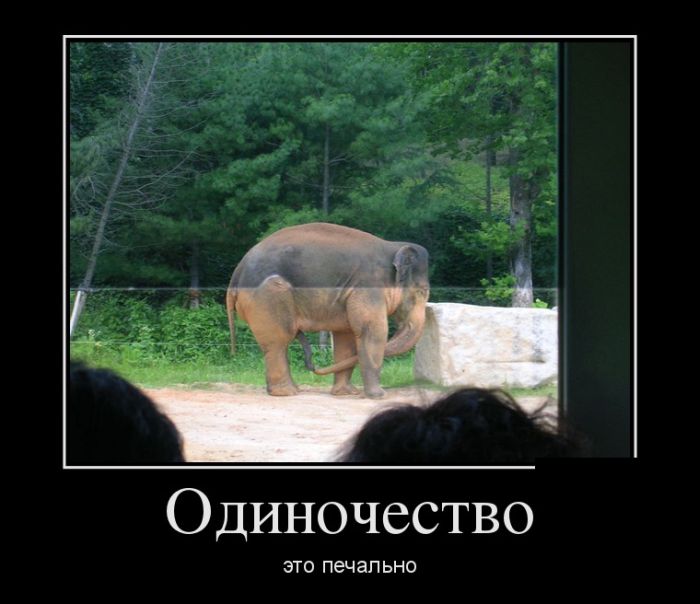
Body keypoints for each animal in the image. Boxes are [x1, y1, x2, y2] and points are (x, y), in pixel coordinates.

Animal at [226, 222, 430, 399]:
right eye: (422, 292)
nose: (313, 367)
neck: (392, 247)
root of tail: (237, 272)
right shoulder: (368, 286)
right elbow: (372, 331)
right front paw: (378, 396)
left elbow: (346, 336)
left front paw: (346, 393)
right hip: (267, 296)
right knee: (278, 342)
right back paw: (287, 393)